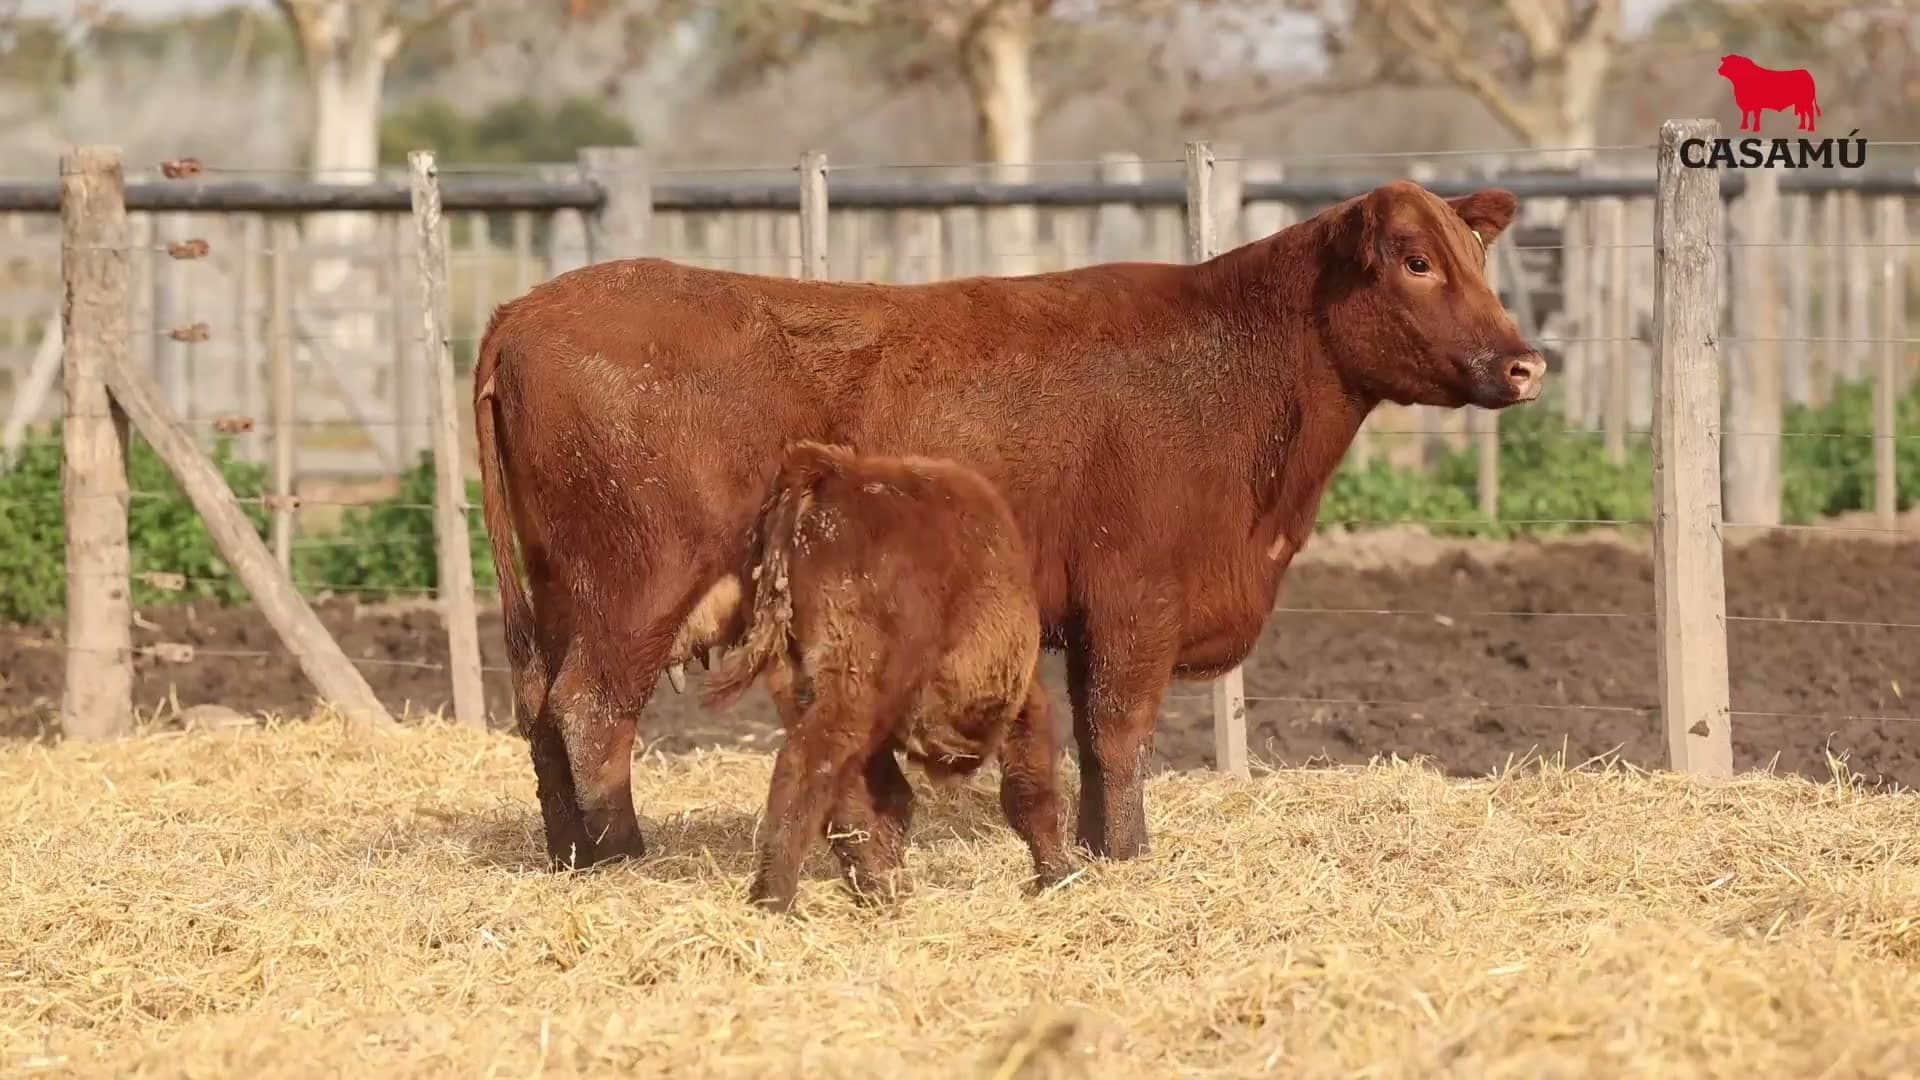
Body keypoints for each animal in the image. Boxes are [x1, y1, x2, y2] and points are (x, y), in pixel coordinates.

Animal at [699, 440, 1065, 913]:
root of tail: (829, 472)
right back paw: (775, 898)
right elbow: (1029, 790)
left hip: (798, 683)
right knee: (807, 765)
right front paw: (1058, 876)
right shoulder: (1023, 701)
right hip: (850, 691)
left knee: (835, 785)